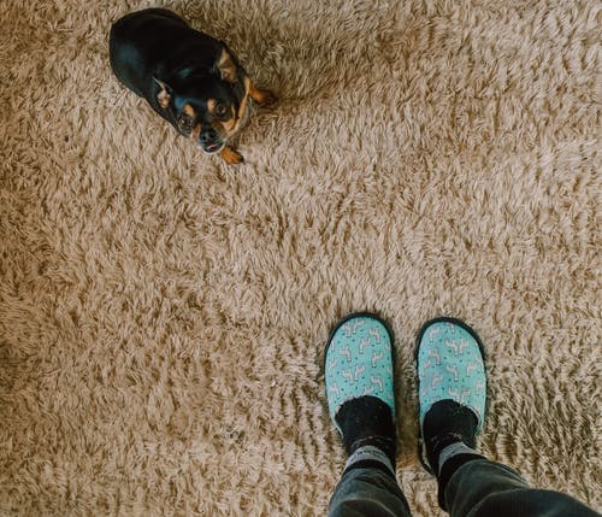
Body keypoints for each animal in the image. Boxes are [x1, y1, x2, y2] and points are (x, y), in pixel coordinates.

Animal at [108, 9, 274, 164]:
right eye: (183, 122)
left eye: (221, 108)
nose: (206, 135)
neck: (193, 72)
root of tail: (115, 27)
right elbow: (218, 150)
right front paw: (228, 155)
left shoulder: (242, 79)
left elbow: (251, 87)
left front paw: (264, 97)